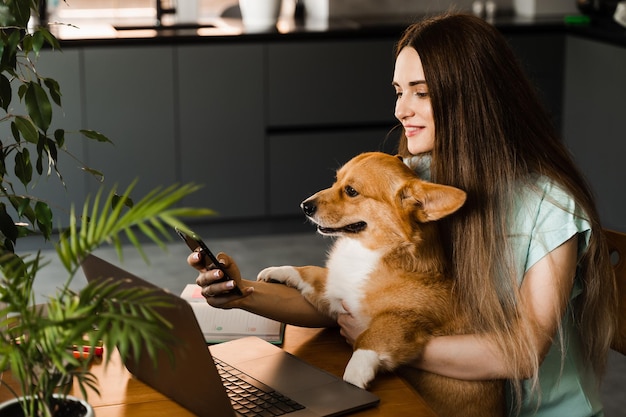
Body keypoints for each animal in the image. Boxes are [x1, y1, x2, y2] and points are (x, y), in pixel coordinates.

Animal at [256, 151, 504, 414]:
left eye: (351, 191)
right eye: (336, 180)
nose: (304, 206)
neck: (370, 252)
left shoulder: (406, 319)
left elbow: (371, 338)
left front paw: (354, 376)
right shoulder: (335, 294)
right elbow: (311, 273)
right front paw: (279, 271)